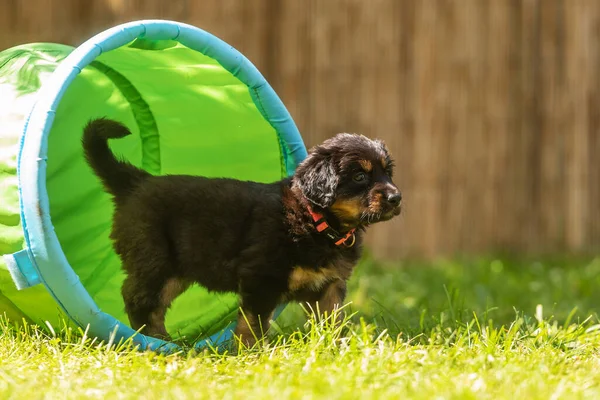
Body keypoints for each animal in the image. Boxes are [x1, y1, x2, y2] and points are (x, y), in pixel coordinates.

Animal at [82, 118, 404, 346]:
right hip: (154, 259)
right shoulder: (261, 278)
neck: (318, 222)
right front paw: (254, 354)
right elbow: (253, 324)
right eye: (360, 176)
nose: (396, 197)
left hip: (177, 270)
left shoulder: (330, 286)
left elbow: (332, 323)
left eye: (387, 173)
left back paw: (165, 340)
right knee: (137, 297)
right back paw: (151, 339)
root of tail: (138, 182)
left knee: (153, 303)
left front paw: (331, 350)